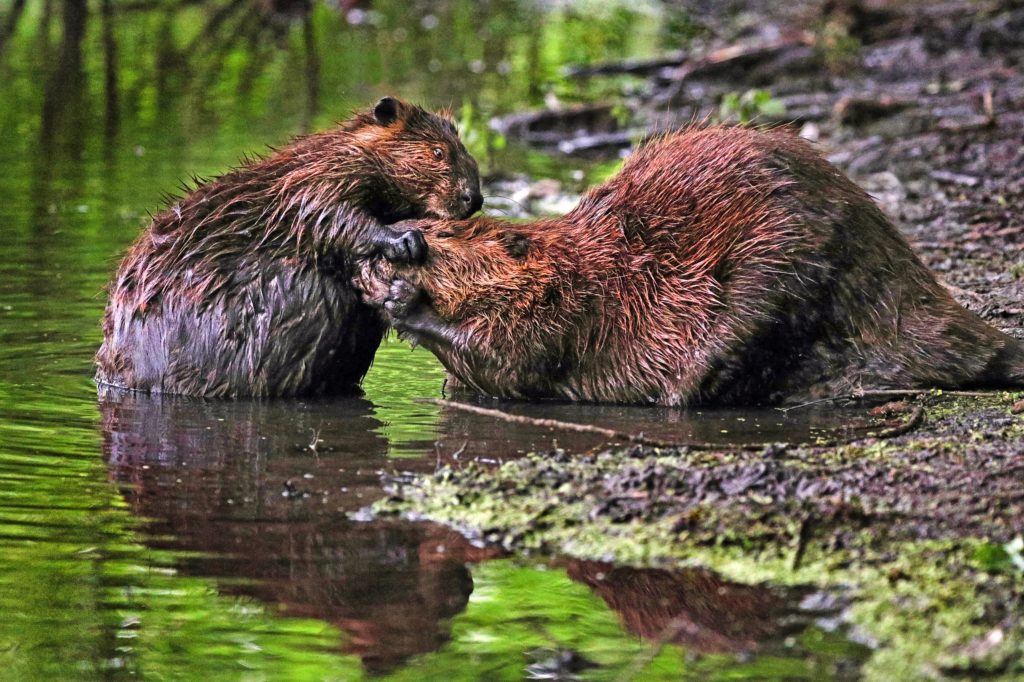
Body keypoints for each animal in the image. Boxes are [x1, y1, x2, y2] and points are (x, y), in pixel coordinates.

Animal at [96, 93, 479, 395]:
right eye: (438, 151)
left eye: (462, 149)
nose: (473, 198)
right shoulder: (316, 175)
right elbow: (328, 213)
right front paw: (404, 239)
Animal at [360, 124, 1024, 401]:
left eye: (433, 235)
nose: (371, 254)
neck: (580, 260)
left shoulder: (571, 304)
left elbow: (516, 360)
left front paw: (403, 302)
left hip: (779, 263)